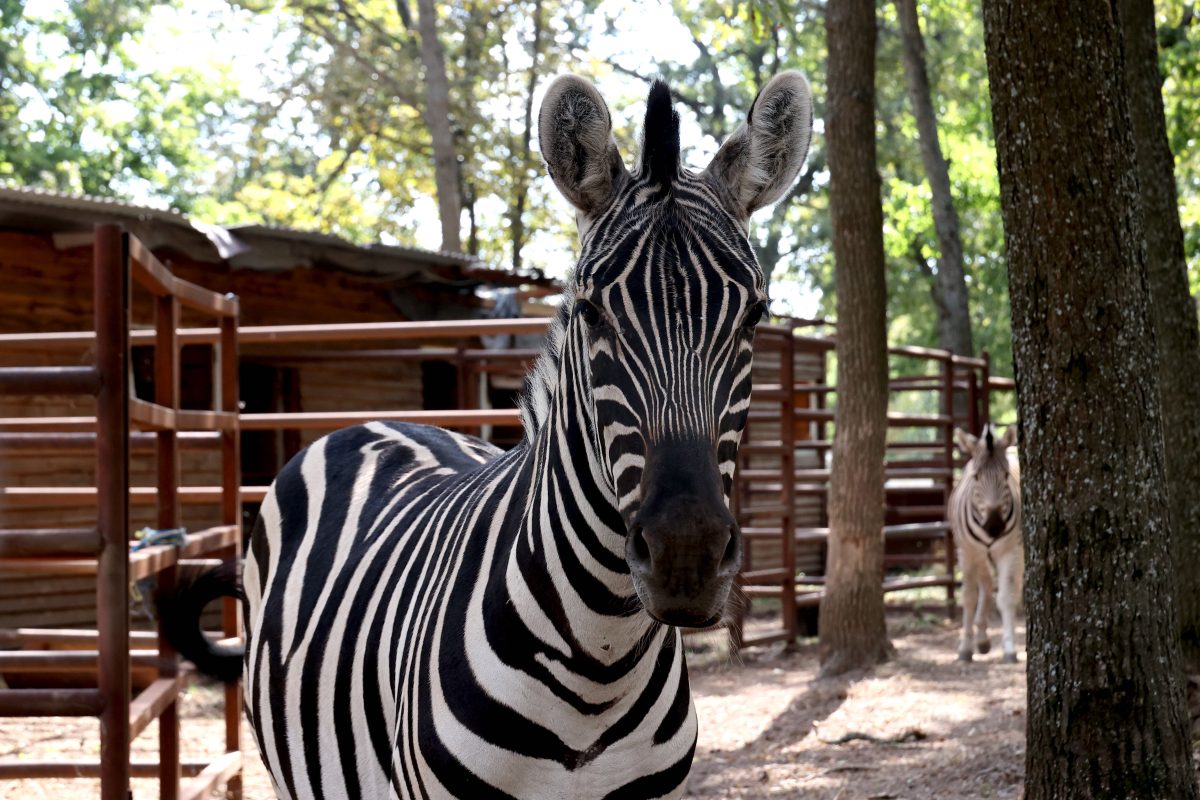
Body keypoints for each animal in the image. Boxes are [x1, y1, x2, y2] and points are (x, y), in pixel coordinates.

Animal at [945, 424, 1022, 662]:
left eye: (1005, 475)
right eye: (976, 477)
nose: (994, 527)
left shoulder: (1010, 551)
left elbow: (1006, 597)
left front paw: (1010, 648)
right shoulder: (966, 551)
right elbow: (969, 598)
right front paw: (965, 647)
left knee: (1011, 587)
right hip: (979, 554)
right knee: (986, 585)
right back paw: (981, 639)